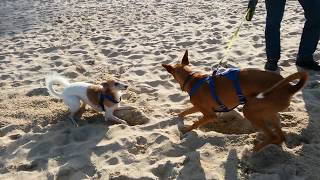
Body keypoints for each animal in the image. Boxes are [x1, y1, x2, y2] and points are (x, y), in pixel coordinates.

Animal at [164, 50, 308, 152]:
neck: (191, 78)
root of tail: (289, 87)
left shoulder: (210, 115)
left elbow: (196, 123)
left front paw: (185, 130)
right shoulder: (198, 107)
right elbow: (183, 112)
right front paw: (177, 119)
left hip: (250, 110)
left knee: (273, 136)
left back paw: (253, 151)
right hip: (270, 113)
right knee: (280, 137)